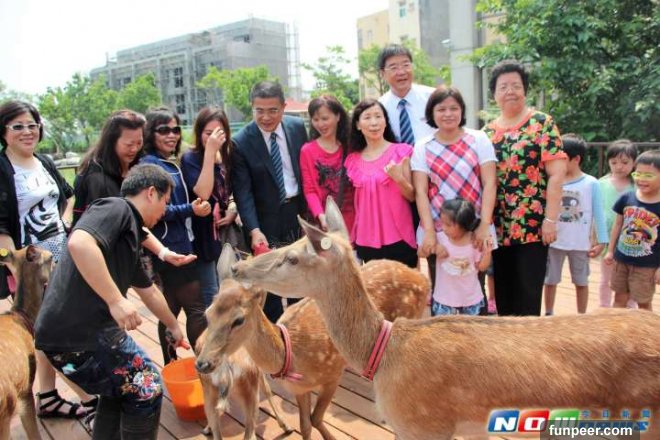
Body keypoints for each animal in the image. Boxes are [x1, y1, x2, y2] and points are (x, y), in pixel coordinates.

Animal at [195, 238, 429, 440]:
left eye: (238, 320)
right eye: (207, 314)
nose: (202, 363)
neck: (291, 354)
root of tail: (422, 278)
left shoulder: (333, 373)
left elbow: (316, 418)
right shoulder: (300, 389)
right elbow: (305, 425)